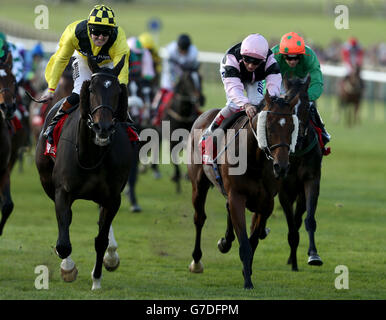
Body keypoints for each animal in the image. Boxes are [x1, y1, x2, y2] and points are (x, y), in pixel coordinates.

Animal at [35, 55, 136, 290]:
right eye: (91, 90)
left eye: (118, 91)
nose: (103, 128)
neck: (92, 156)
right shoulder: (62, 191)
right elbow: (63, 242)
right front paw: (68, 269)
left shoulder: (113, 197)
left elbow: (101, 240)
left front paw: (97, 279)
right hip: (47, 182)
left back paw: (111, 257)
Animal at [188, 93, 300, 290]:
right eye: (268, 126)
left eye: (292, 127)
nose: (282, 167)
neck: (254, 160)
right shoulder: (237, 197)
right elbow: (245, 243)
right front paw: (248, 281)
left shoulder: (266, 202)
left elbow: (253, 240)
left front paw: (246, 270)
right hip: (198, 184)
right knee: (199, 218)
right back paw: (197, 261)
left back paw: (225, 242)